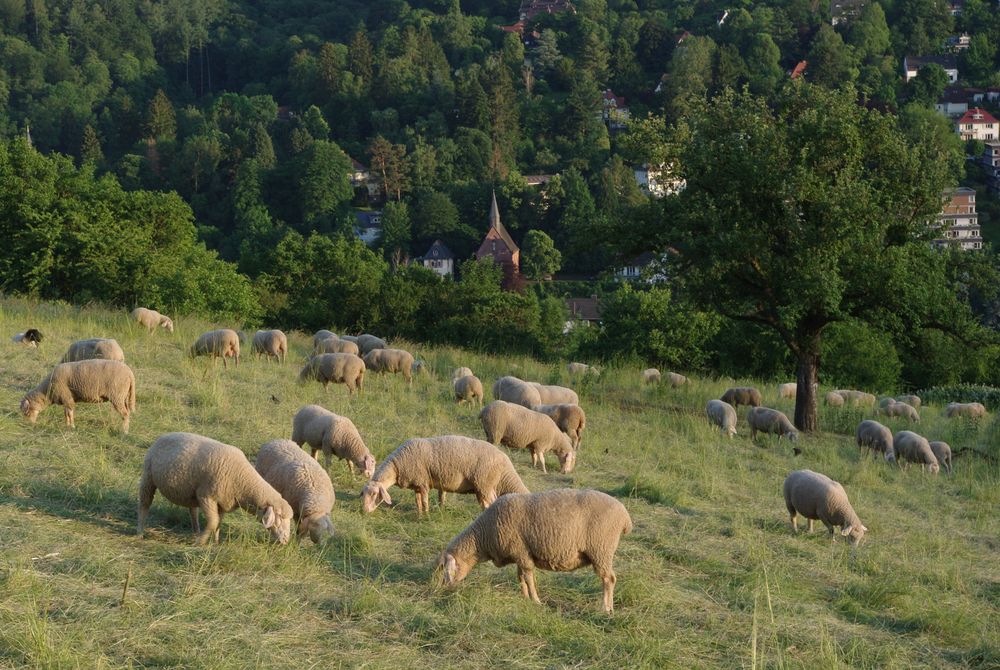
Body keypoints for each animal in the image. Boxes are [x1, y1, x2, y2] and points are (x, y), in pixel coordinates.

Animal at [137, 434, 294, 548]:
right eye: (280, 518)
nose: (286, 541)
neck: (242, 480)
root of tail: (163, 435)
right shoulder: (206, 497)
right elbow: (213, 522)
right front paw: (200, 542)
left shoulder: (223, 503)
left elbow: (218, 523)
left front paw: (216, 542)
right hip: (148, 477)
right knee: (144, 504)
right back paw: (140, 532)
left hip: (189, 491)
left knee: (192, 511)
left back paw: (196, 531)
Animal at [360, 436, 532, 516]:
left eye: (374, 494)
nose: (364, 511)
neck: (397, 466)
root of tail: (506, 463)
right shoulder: (417, 484)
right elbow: (418, 501)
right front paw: (420, 514)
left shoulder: (423, 482)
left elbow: (424, 500)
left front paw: (426, 515)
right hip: (481, 488)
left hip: (485, 484)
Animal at [440, 488, 632, 616]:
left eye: (447, 569)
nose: (445, 590)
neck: (484, 535)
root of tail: (625, 517)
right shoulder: (519, 554)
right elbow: (520, 577)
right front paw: (525, 598)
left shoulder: (522, 552)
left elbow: (528, 577)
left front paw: (535, 601)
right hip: (602, 552)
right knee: (609, 579)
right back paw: (610, 608)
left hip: (601, 549)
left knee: (608, 579)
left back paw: (605, 608)